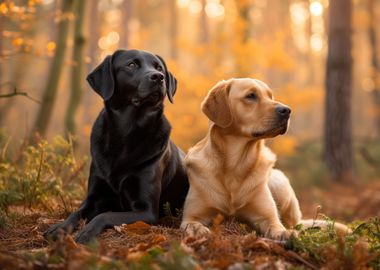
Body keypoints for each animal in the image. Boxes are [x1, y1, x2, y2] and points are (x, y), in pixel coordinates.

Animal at [44, 49, 189, 244]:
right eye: (131, 65)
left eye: (159, 68)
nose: (159, 77)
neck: (126, 134)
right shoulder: (94, 197)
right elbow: (76, 213)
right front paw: (59, 228)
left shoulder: (146, 210)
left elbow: (105, 215)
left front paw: (86, 232)